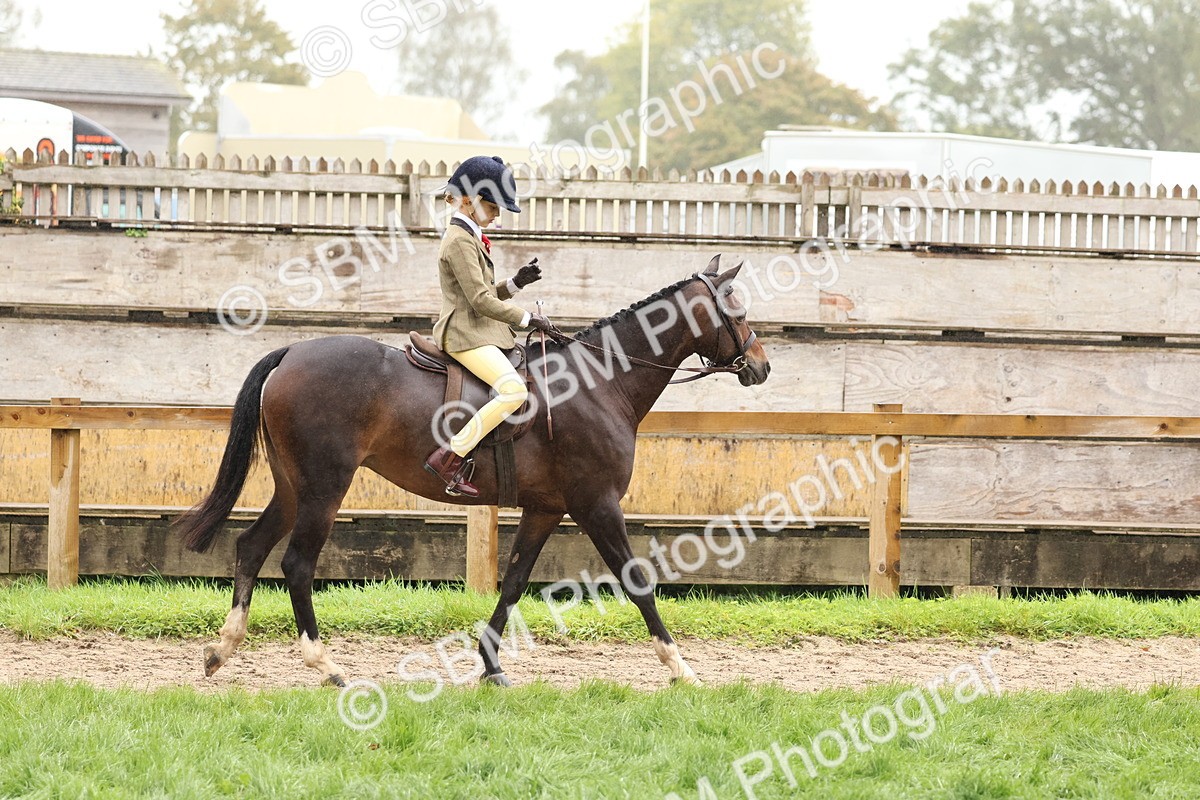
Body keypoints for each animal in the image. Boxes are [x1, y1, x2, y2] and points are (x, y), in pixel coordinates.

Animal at [174, 255, 771, 687]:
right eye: (738, 312)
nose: (762, 366)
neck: (601, 382)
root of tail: (292, 350)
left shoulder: (546, 508)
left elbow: (514, 582)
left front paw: (491, 666)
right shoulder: (597, 504)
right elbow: (638, 582)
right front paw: (681, 668)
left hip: (294, 488)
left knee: (251, 547)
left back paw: (221, 651)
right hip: (324, 489)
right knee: (297, 565)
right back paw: (328, 667)